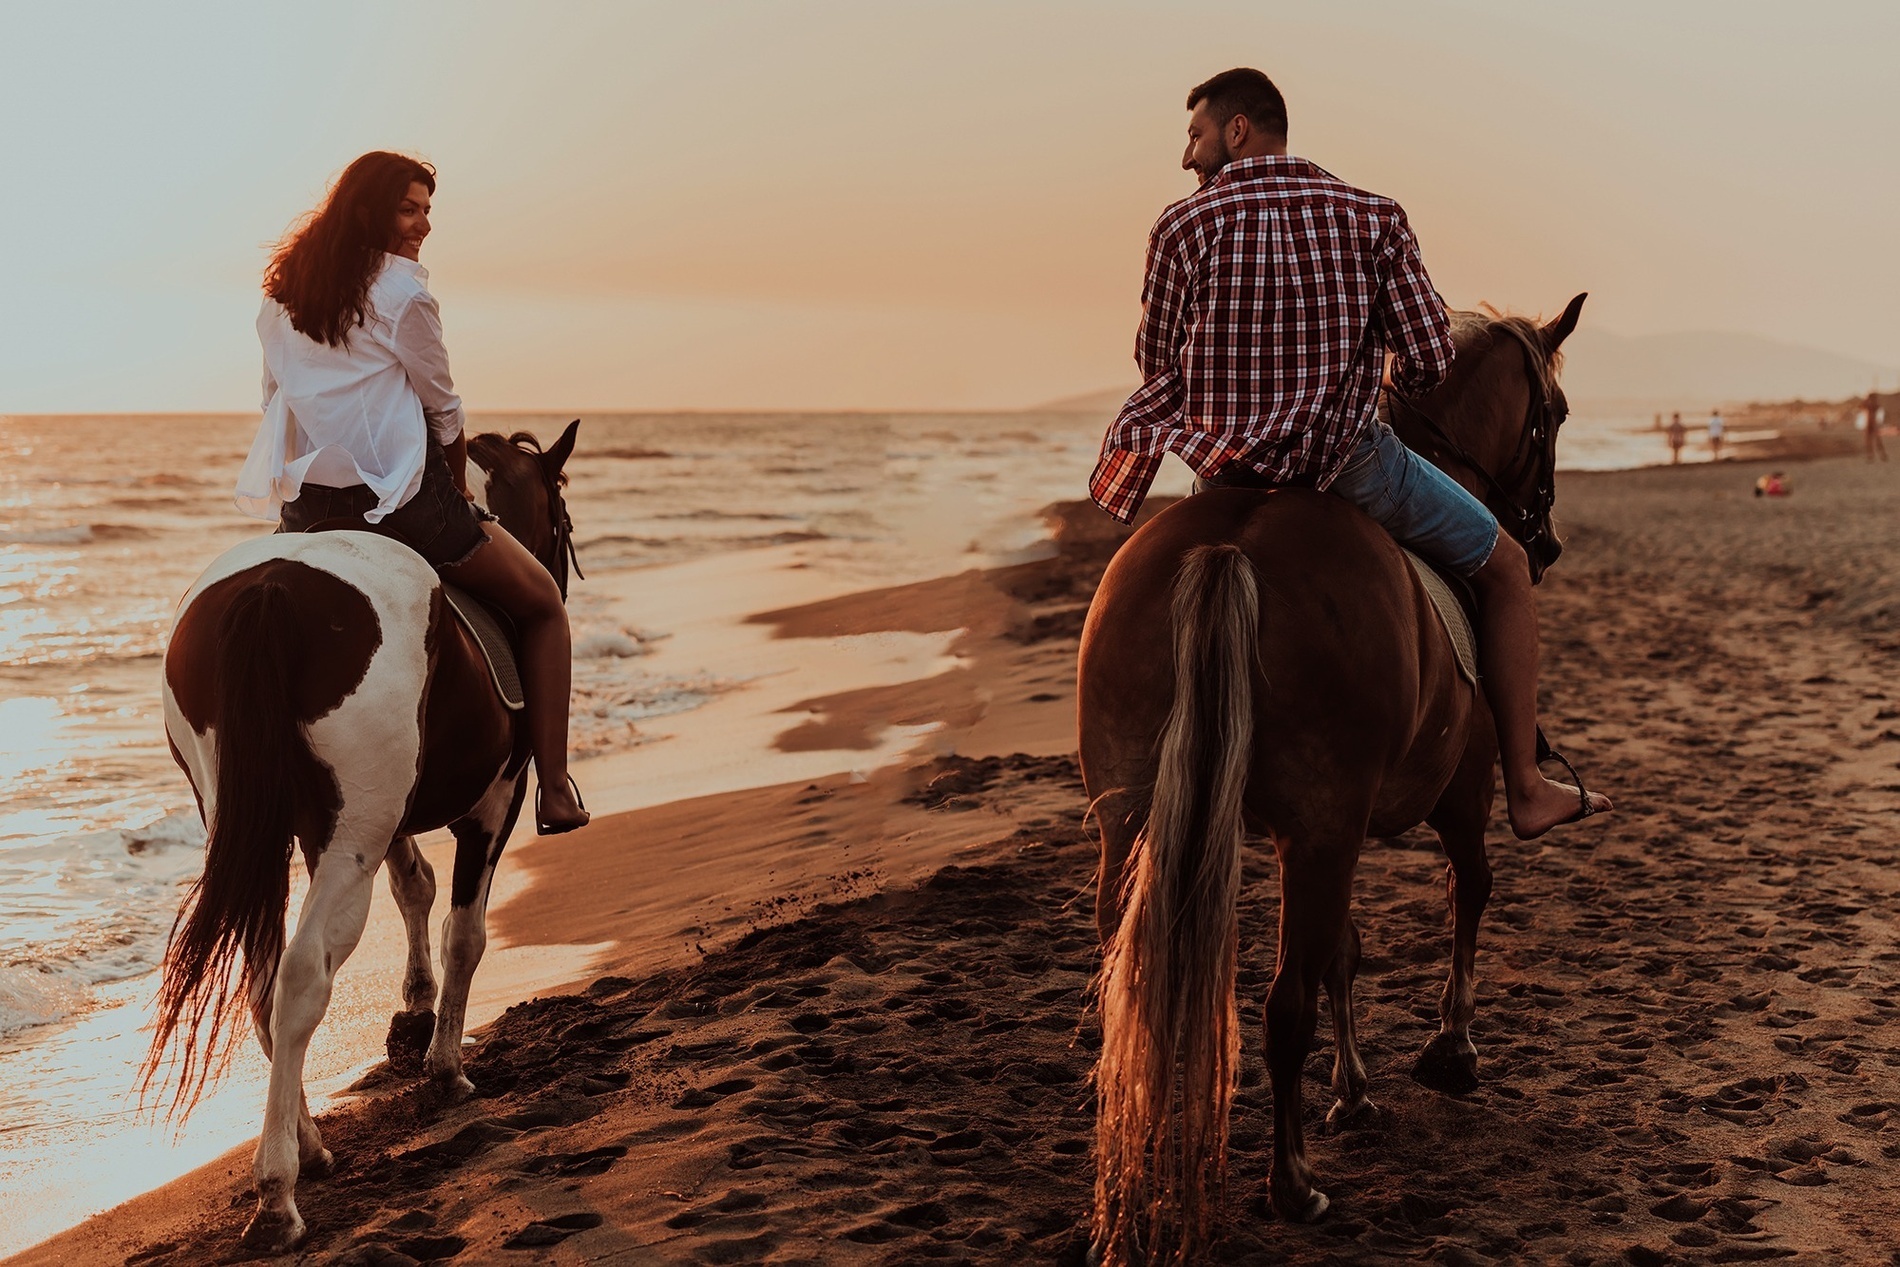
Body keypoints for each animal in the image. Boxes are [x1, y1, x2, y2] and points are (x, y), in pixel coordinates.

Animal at [148, 423, 581, 1246]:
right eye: (565, 516)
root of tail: (270, 590)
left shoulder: (384, 820)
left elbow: (415, 886)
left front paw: (412, 1012)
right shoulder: (494, 802)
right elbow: (465, 932)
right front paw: (444, 1065)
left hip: (268, 823)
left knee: (263, 978)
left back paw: (308, 1146)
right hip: (350, 832)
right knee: (302, 973)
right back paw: (277, 1193)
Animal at [1086, 298, 1588, 1261]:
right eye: (1557, 413)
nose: (1542, 541)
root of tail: (1230, 549)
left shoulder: (1332, 831)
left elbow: (1344, 951)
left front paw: (1355, 1090)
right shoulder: (1450, 795)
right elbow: (1469, 891)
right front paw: (1451, 1049)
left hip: (1135, 820)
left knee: (1138, 981)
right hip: (1324, 825)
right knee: (1284, 1004)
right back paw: (1292, 1187)